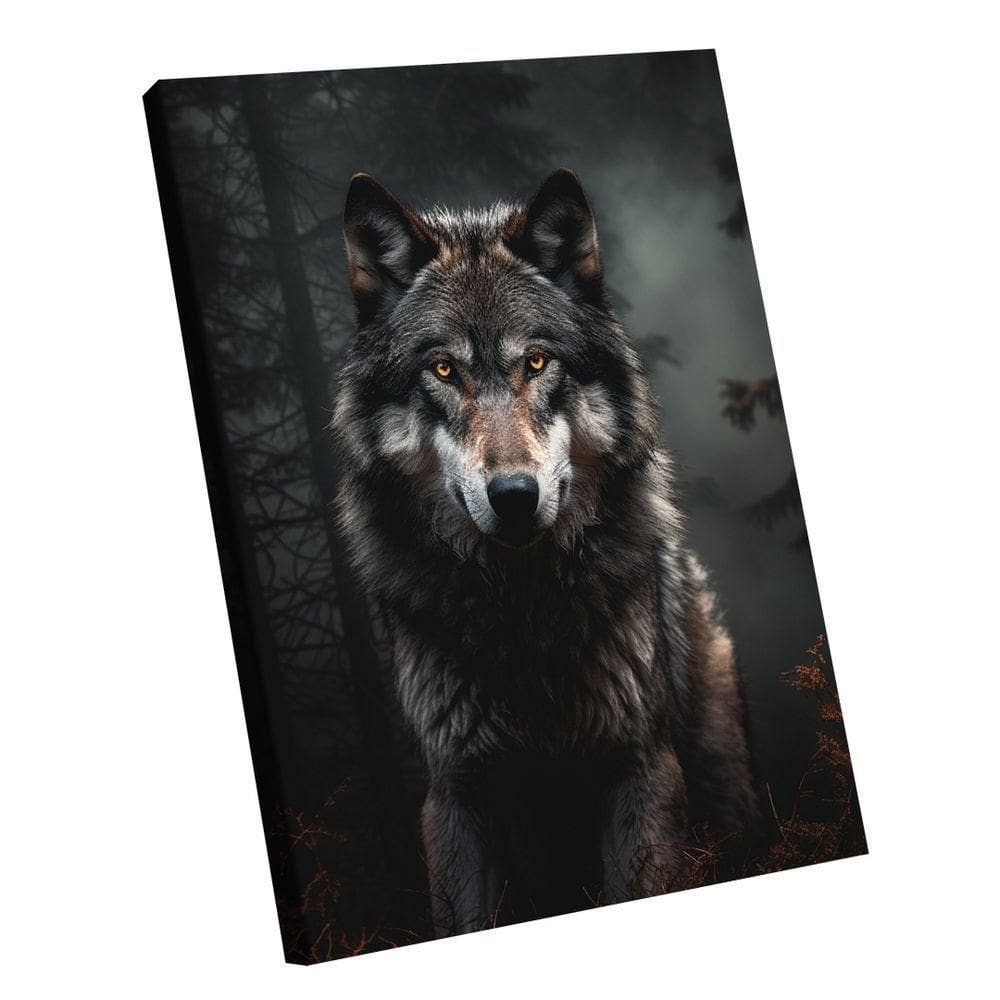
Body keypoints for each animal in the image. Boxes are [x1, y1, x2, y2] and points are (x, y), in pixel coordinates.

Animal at [332, 168, 757, 935]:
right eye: (444, 369)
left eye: (536, 361)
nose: (514, 495)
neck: (521, 614)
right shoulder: (457, 794)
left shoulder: (639, 768)